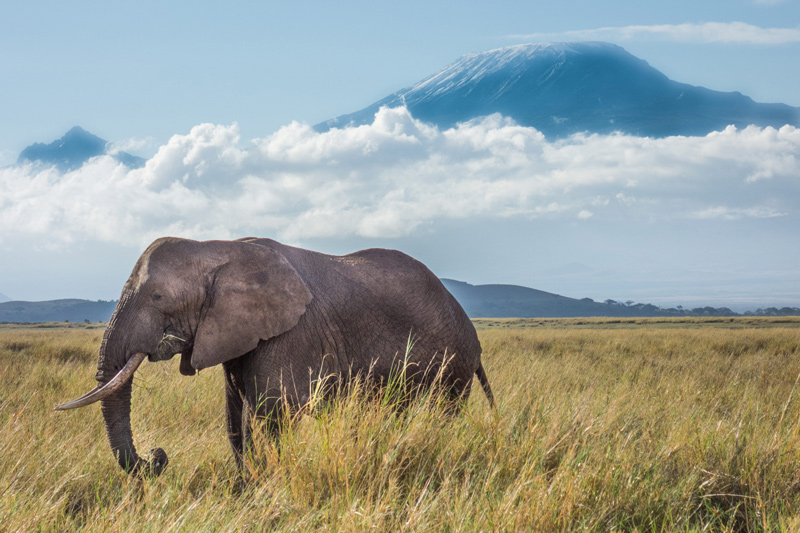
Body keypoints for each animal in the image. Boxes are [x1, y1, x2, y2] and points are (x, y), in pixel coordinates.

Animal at [56, 237, 494, 477]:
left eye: (158, 297)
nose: (158, 456)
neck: (217, 248)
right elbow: (234, 419)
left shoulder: (291, 333)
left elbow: (270, 413)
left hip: (451, 367)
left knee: (439, 416)